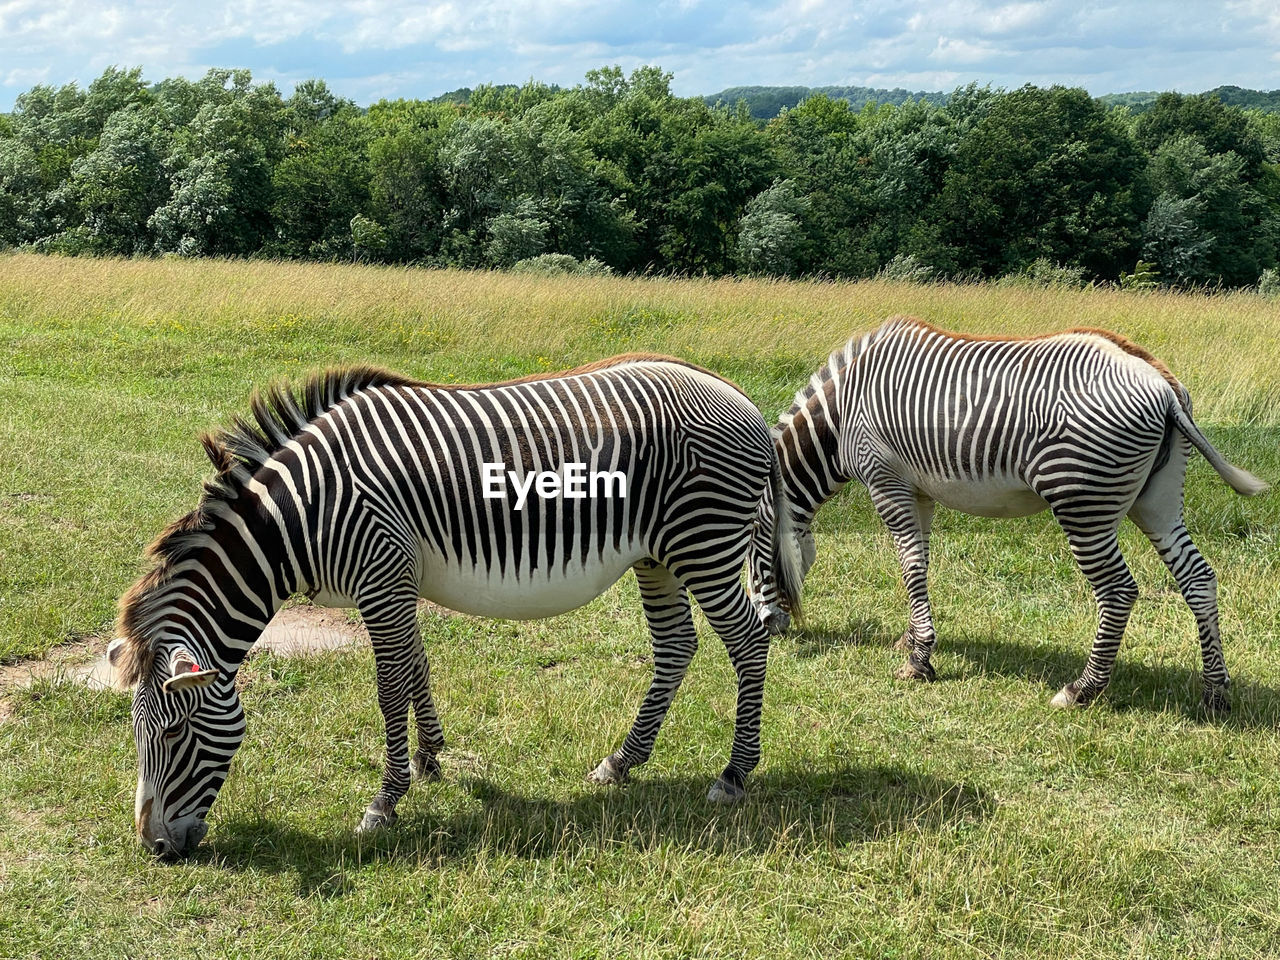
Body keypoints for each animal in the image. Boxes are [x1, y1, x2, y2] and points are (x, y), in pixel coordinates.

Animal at [115, 358, 803, 860]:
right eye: (139, 734)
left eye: (173, 734)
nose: (155, 847)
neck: (300, 517)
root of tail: (733, 392)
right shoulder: (396, 581)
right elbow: (416, 666)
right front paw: (431, 759)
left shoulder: (380, 577)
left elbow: (390, 686)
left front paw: (385, 800)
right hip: (657, 554)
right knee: (676, 645)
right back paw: (622, 761)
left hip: (704, 541)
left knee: (747, 641)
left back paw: (734, 774)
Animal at [752, 317, 1264, 716]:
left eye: (749, 552)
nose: (772, 630)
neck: (840, 419)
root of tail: (1161, 382)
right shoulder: (919, 491)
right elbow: (920, 565)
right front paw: (913, 640)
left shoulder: (886, 481)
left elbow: (910, 567)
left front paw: (918, 662)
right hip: (1156, 500)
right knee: (1198, 578)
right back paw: (1215, 692)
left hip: (1083, 502)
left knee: (1118, 591)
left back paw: (1082, 690)